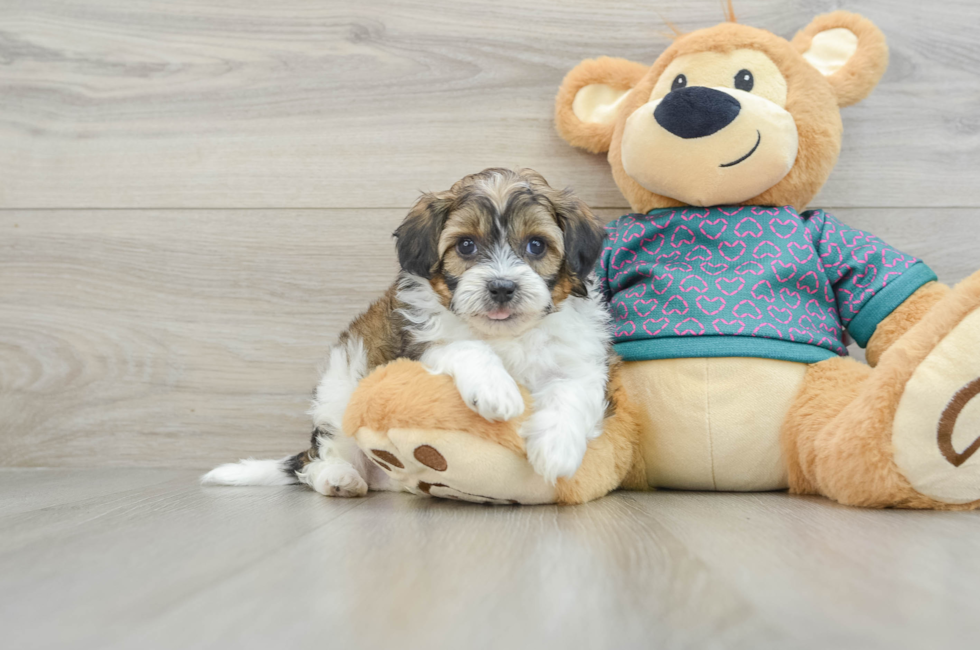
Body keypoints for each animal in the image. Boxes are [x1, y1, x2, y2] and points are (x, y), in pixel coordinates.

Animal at [202, 167, 612, 496]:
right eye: (466, 245)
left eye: (536, 245)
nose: (501, 287)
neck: (504, 335)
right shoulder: (412, 348)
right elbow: (465, 347)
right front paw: (496, 390)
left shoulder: (579, 360)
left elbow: (572, 389)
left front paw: (557, 449)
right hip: (337, 398)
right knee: (317, 460)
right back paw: (338, 478)